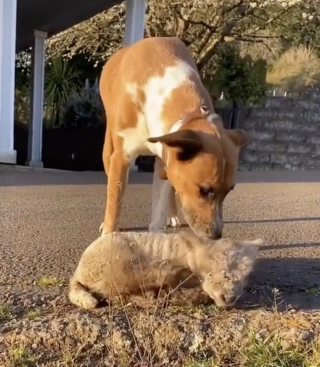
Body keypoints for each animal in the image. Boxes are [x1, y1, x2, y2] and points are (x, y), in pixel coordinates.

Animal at [69, 233, 262, 310]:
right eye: (211, 273)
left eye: (244, 278)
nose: (229, 298)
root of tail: (78, 272)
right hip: (114, 260)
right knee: (125, 282)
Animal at [99, 36, 249, 239]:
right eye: (204, 190)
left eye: (229, 190)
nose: (216, 235)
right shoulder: (122, 157)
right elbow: (115, 200)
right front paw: (109, 234)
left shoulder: (166, 155)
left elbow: (159, 205)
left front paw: (157, 234)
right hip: (109, 151)